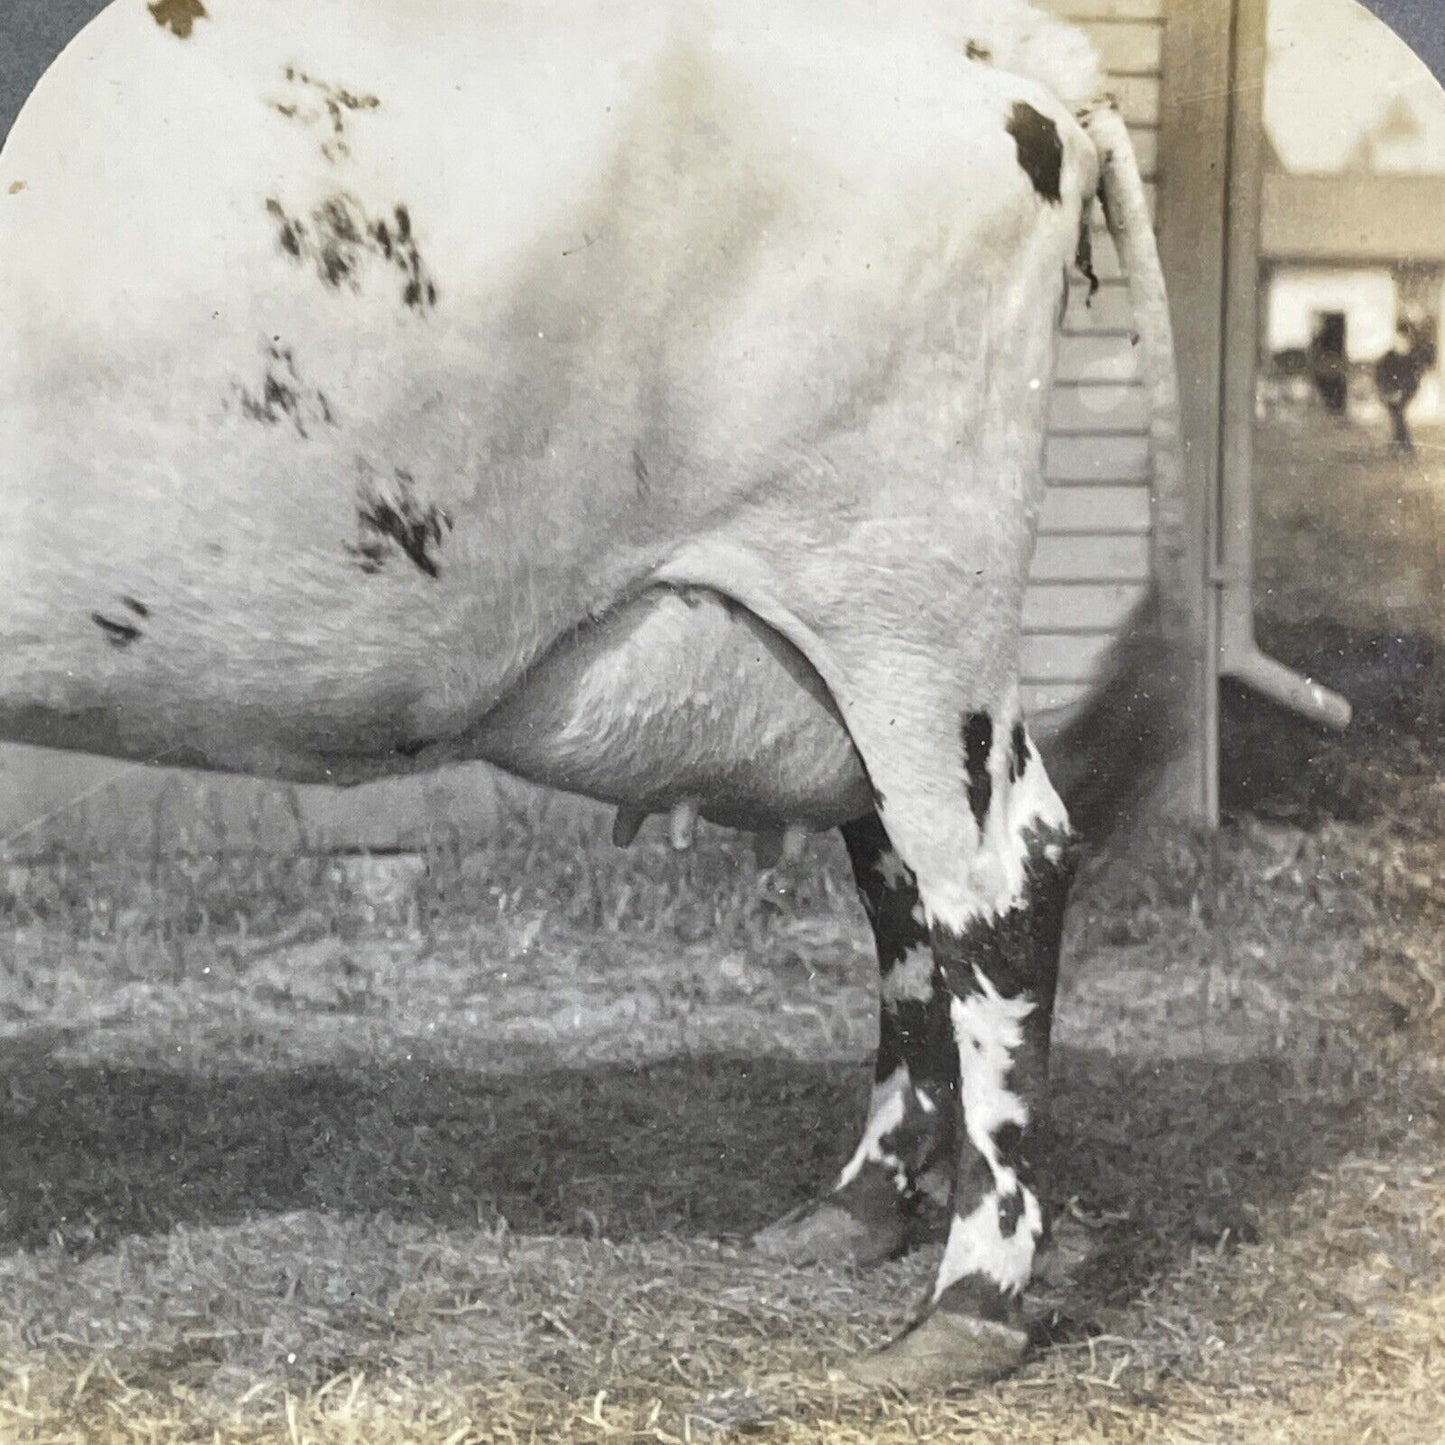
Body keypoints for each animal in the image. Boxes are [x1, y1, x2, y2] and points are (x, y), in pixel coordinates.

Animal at [0, 2, 1173, 1398]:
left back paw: (967, 1298)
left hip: (906, 589)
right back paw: (857, 1204)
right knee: (898, 886)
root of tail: (1004, 51)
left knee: (997, 883)